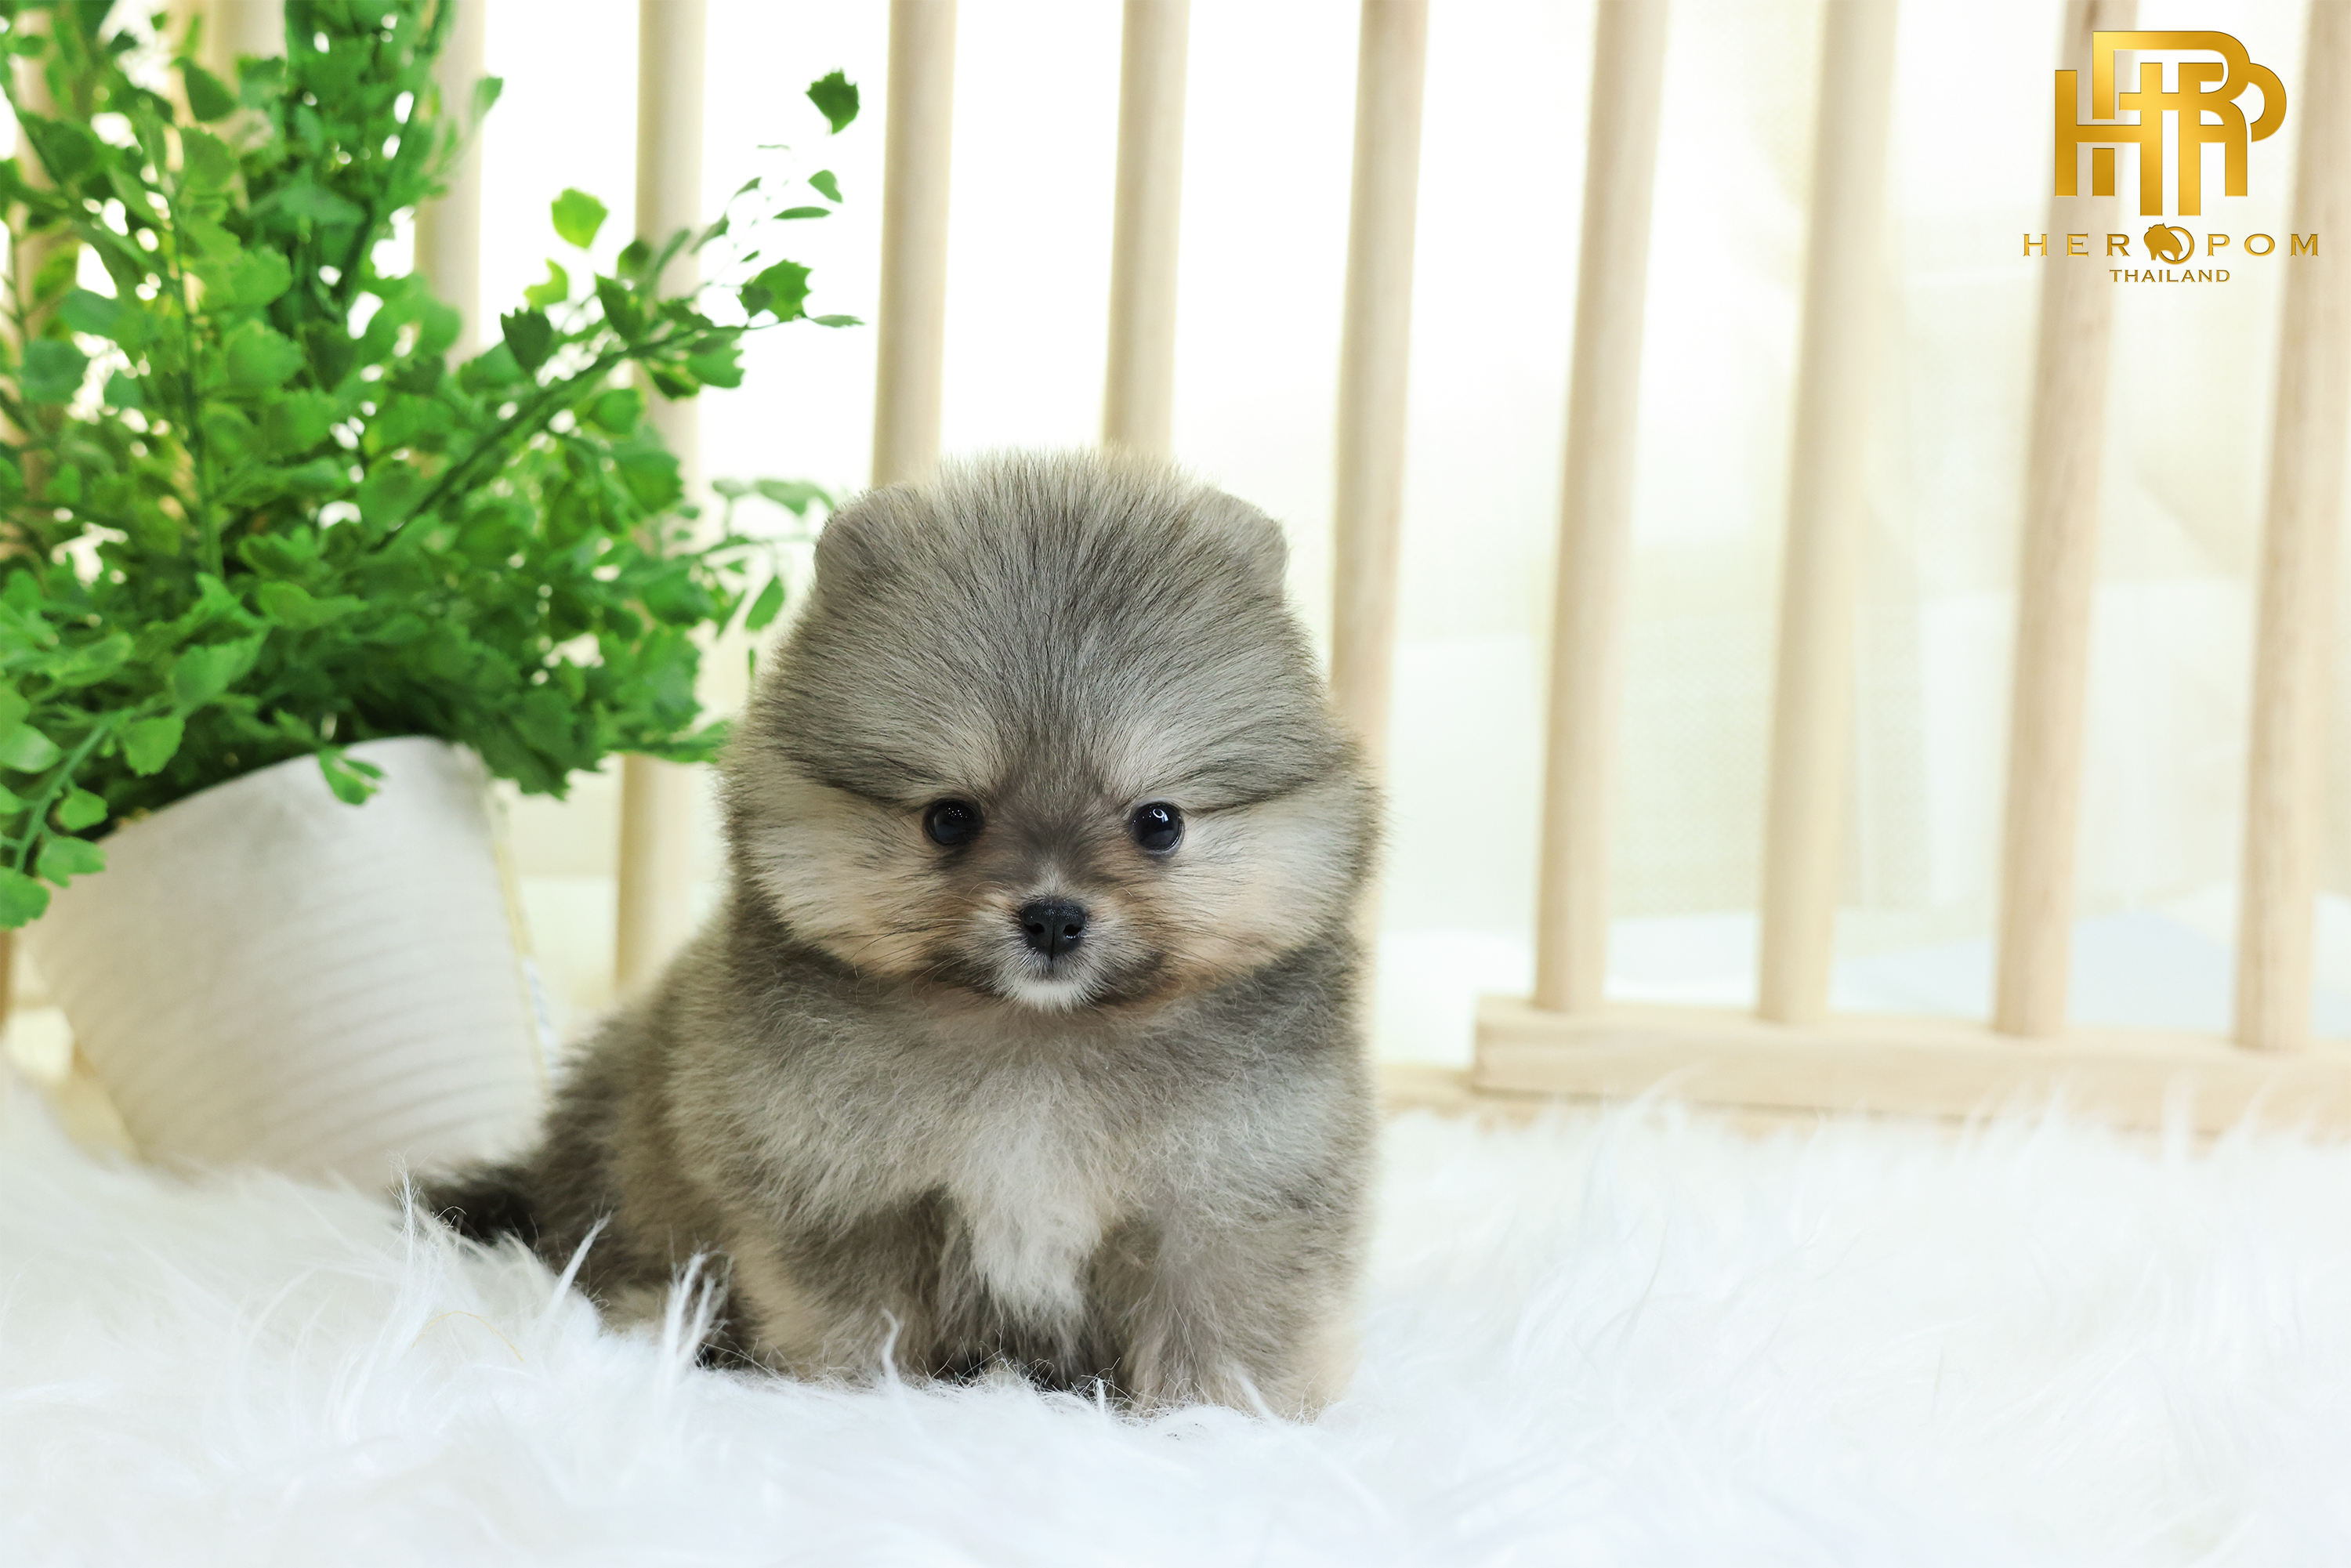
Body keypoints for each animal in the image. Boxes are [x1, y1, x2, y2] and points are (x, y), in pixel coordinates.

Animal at [423, 450, 1379, 1414]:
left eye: (1158, 823)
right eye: (950, 818)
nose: (1053, 915)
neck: (1034, 1038)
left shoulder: (1226, 1202)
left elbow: (1219, 1331)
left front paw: (1216, 1420)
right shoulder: (843, 1191)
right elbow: (856, 1325)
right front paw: (861, 1402)